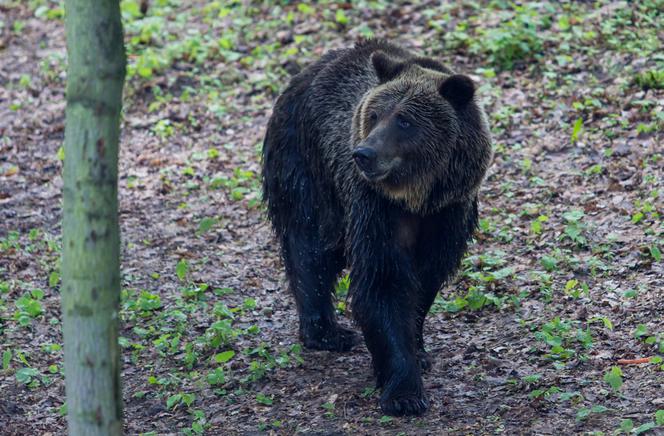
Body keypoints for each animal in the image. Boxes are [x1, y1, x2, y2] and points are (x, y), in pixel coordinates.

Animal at [260, 40, 492, 416]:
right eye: (374, 115)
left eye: (405, 120)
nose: (363, 153)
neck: (417, 199)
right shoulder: (376, 210)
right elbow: (382, 283)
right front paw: (404, 392)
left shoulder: (448, 214)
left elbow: (424, 282)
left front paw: (419, 351)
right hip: (306, 165)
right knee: (308, 247)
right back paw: (326, 332)